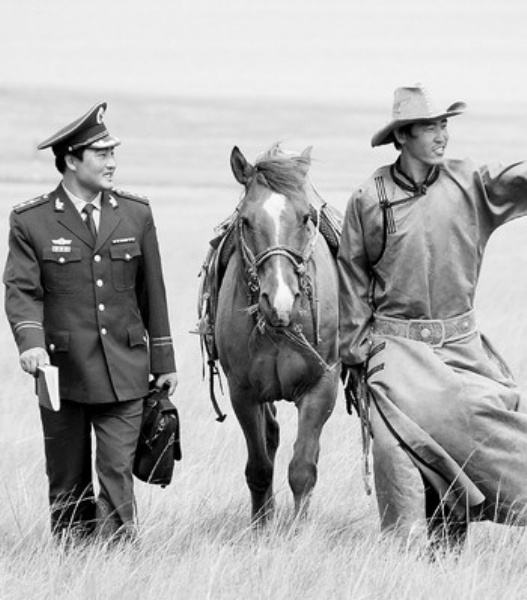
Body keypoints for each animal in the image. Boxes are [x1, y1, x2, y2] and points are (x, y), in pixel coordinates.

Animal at [214, 144, 340, 524]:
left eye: (306, 217)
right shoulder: (243, 393)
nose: (281, 301)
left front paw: (299, 531)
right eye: (245, 220)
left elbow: (302, 469)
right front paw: (261, 525)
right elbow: (259, 467)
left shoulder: (322, 385)